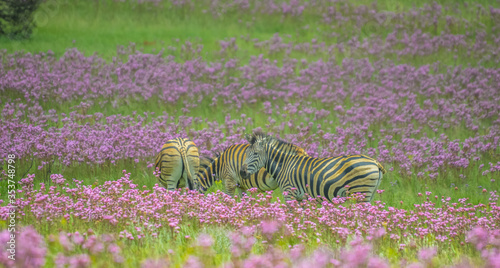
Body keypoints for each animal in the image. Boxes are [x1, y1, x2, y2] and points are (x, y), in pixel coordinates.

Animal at [239, 132, 386, 203]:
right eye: (246, 153)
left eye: (256, 154)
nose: (242, 172)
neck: (284, 165)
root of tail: (374, 162)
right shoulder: (300, 197)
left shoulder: (289, 192)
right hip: (369, 194)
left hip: (360, 192)